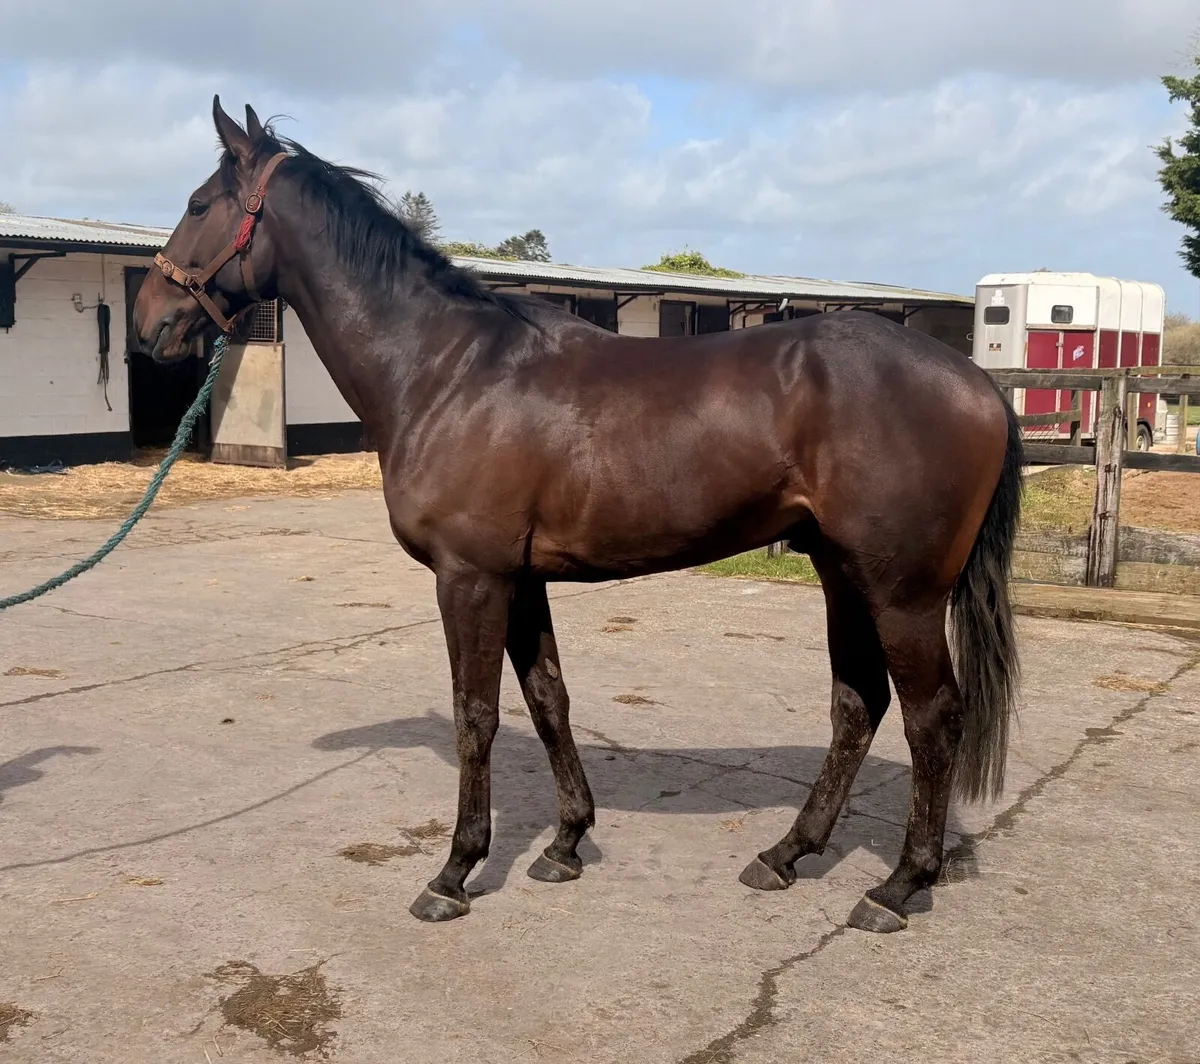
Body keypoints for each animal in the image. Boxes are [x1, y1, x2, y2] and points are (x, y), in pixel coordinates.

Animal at [132, 97, 1022, 934]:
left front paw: (454, 872)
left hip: (901, 593)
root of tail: (976, 382)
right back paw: (785, 854)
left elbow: (477, 716)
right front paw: (564, 844)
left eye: (200, 202)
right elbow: (548, 699)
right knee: (857, 705)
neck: (447, 369)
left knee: (933, 719)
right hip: (842, 573)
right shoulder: (521, 580)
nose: (147, 324)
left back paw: (897, 887)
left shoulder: (471, 579)